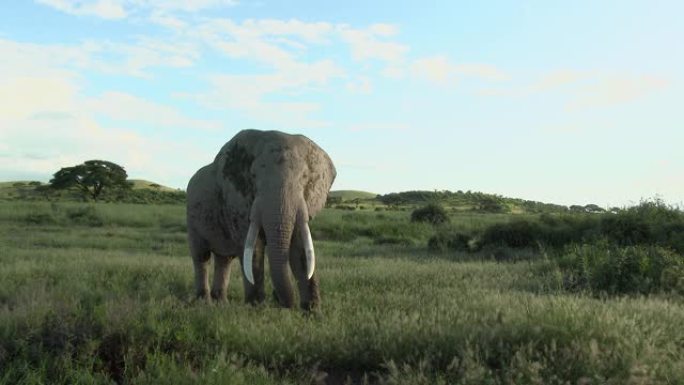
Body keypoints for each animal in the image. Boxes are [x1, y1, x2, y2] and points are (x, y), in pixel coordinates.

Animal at [187, 129, 336, 308]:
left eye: (305, 177)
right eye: (253, 176)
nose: (278, 299)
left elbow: (300, 249)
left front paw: (312, 311)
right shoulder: (238, 204)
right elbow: (253, 249)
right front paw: (256, 307)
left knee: (224, 259)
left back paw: (221, 303)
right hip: (192, 216)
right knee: (201, 256)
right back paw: (204, 302)